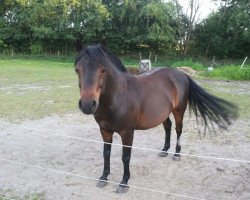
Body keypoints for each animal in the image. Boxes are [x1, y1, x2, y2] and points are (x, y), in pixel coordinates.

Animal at [73, 41, 236, 193]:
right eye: (77, 70)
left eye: (103, 70)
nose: (87, 104)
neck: (118, 97)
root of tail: (182, 74)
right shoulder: (105, 131)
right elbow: (106, 154)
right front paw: (104, 177)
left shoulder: (127, 133)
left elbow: (126, 156)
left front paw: (124, 182)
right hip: (163, 114)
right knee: (168, 127)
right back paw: (164, 150)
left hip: (179, 111)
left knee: (178, 129)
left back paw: (176, 153)